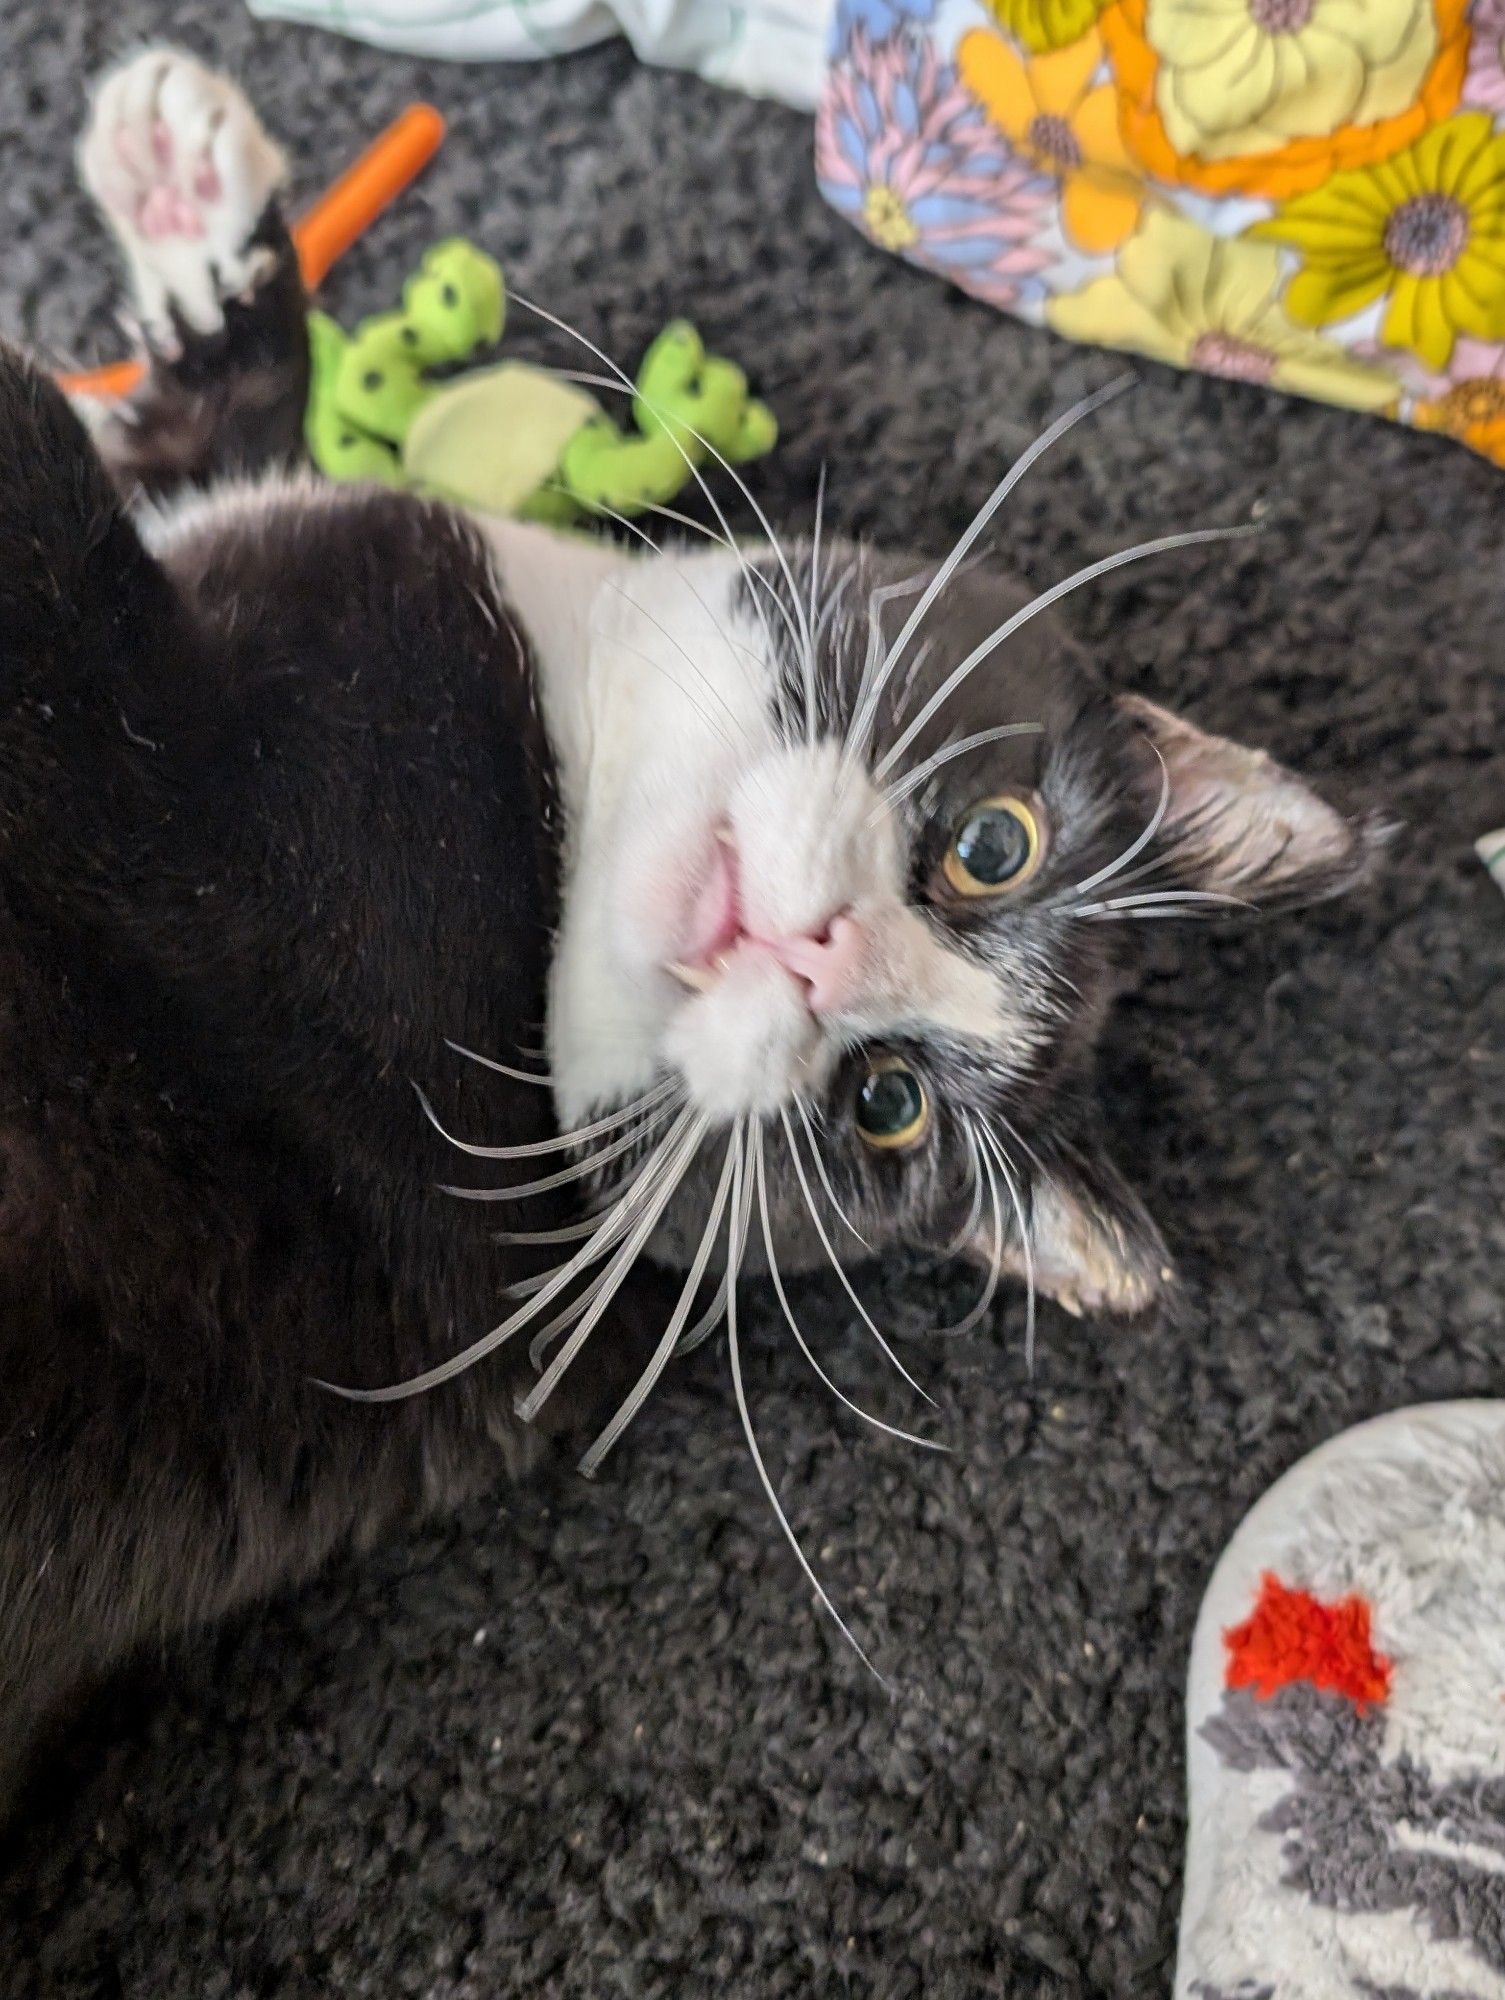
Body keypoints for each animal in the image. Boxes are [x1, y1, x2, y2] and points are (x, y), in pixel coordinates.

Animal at [0, 43, 1376, 1800]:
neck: (554, 791)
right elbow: (192, 454)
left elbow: (57, 513)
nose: (818, 960)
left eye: (881, 1106)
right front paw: (192, 199)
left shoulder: (269, 838)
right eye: (996, 847)